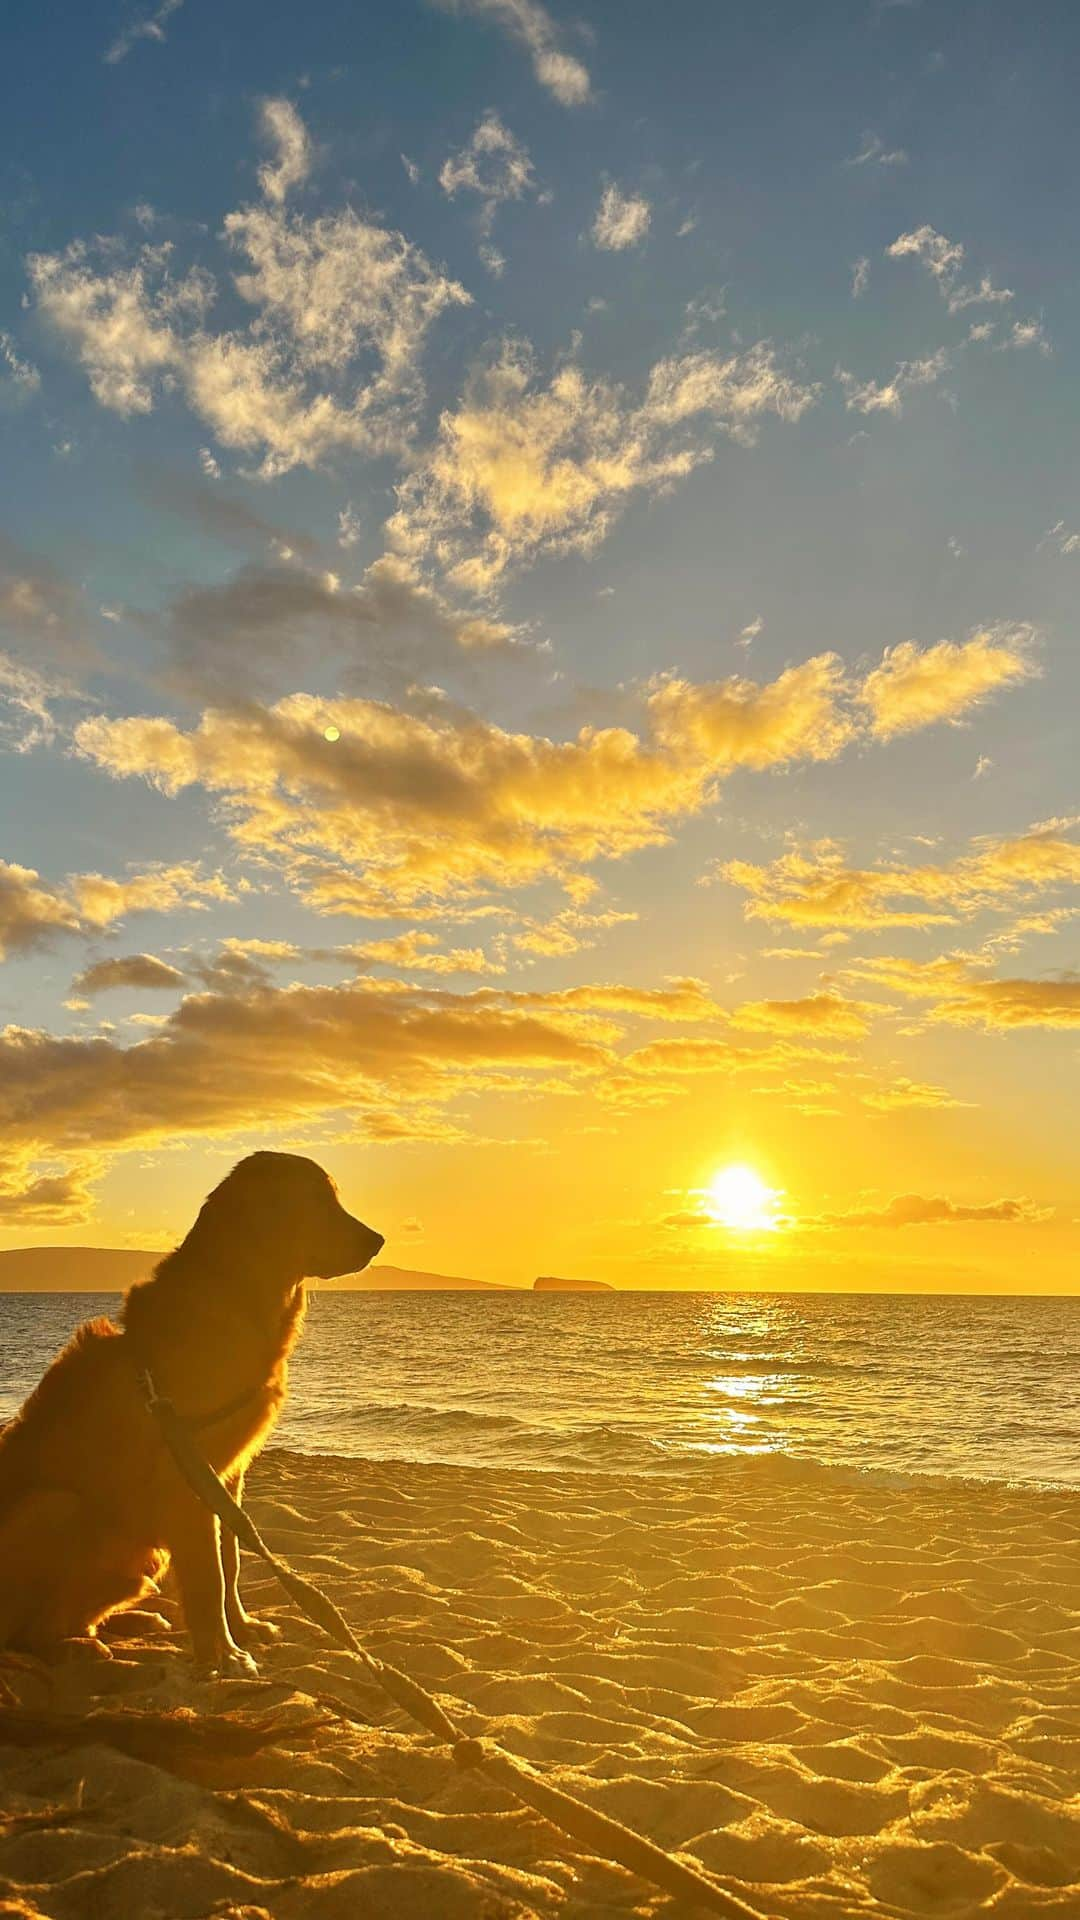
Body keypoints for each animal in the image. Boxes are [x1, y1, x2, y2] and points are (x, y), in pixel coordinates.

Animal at [0, 1144, 382, 1674]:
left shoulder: (227, 1474)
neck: (238, 1299)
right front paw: (223, 1653)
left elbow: (231, 1558)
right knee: (27, 1634)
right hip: (58, 1507)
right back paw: (77, 1647)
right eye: (316, 1201)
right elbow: (208, 1574)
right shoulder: (186, 1475)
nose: (378, 1241)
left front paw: (241, 1629)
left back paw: (130, 1623)